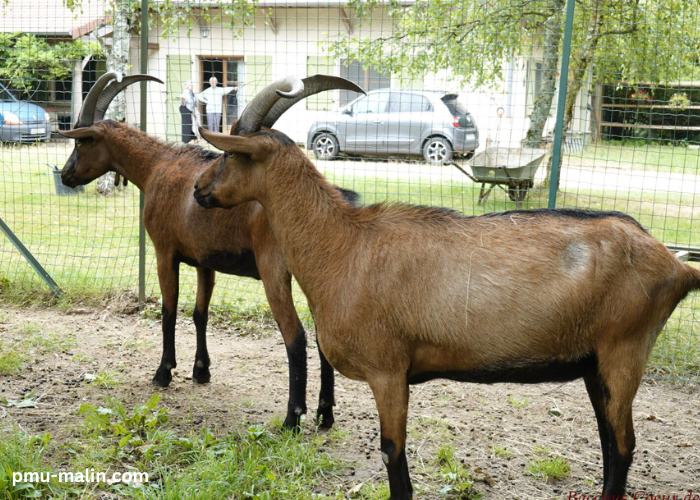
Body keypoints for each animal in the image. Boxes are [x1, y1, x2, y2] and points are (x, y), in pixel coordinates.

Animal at [191, 91, 700, 500]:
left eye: (229, 155)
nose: (198, 190)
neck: (344, 245)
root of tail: (677, 266)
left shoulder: (388, 370)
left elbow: (392, 456)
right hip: (597, 365)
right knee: (610, 443)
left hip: (624, 351)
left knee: (624, 447)